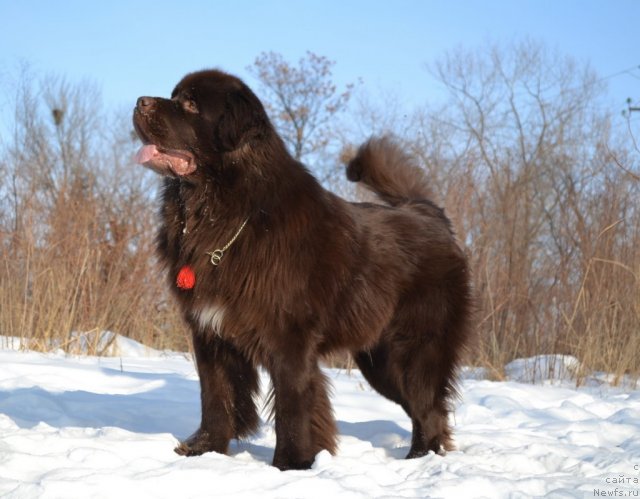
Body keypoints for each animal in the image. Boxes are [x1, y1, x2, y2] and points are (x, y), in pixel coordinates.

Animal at [132, 70, 472, 472]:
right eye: (174, 95)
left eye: (190, 104)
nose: (139, 101)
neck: (227, 212)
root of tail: (429, 213)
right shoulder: (209, 333)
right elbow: (215, 396)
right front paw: (205, 450)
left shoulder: (289, 339)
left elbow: (293, 407)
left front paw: (290, 465)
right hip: (380, 361)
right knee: (427, 410)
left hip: (414, 350)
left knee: (429, 407)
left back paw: (418, 461)